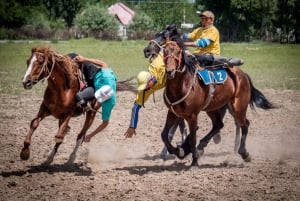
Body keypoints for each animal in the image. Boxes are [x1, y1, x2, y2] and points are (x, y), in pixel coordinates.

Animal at [162, 33, 274, 166]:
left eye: (178, 52)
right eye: (164, 51)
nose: (170, 71)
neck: (183, 85)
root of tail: (243, 74)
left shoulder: (192, 115)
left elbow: (193, 137)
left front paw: (194, 160)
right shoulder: (172, 112)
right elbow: (164, 135)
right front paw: (179, 151)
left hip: (238, 107)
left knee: (244, 125)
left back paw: (244, 153)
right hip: (212, 108)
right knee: (219, 124)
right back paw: (202, 145)